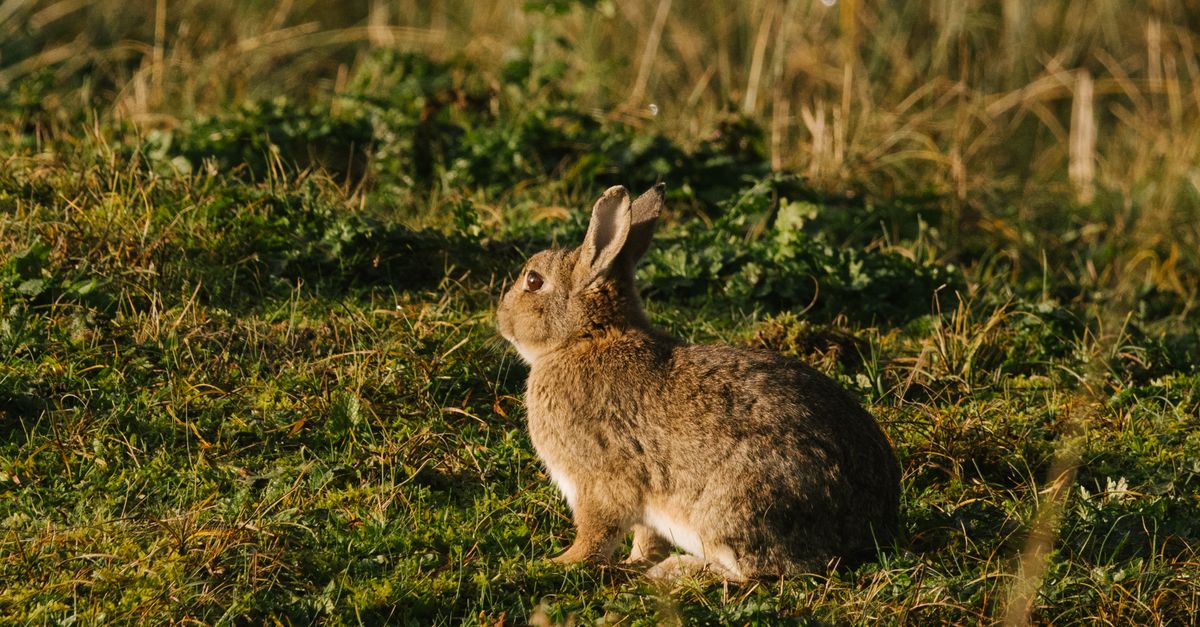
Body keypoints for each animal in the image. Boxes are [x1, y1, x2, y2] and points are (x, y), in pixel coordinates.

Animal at [496, 183, 900, 580]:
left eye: (533, 281)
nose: (500, 318)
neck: (585, 338)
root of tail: (868, 531)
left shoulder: (596, 481)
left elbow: (596, 535)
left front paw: (559, 562)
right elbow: (645, 536)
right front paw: (633, 561)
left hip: (735, 506)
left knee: (754, 570)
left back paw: (674, 570)